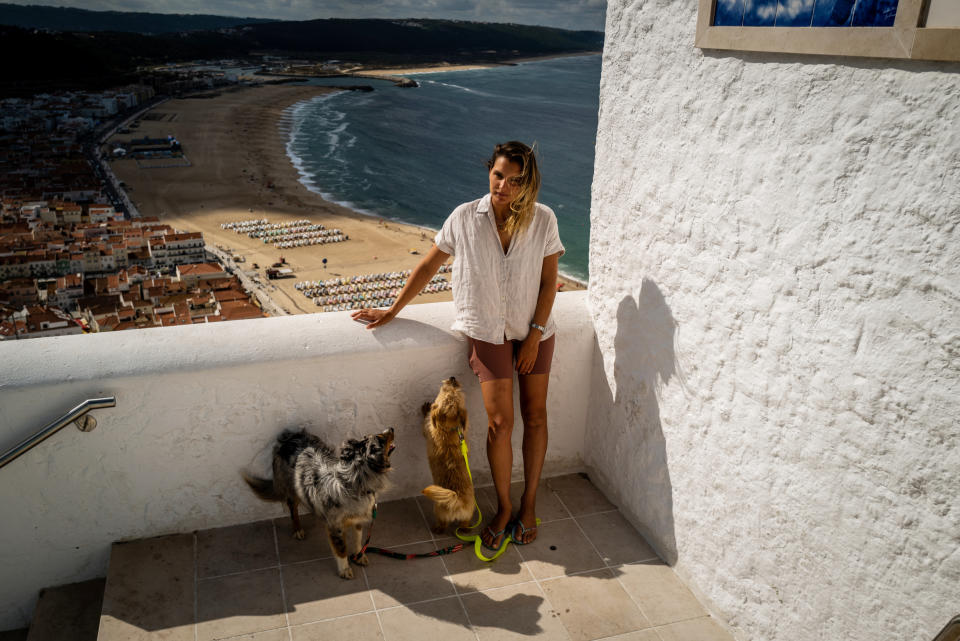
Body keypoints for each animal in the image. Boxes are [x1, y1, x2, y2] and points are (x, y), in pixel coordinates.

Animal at [248, 428, 398, 576]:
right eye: (381, 438)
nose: (391, 428)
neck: (353, 482)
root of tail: (289, 436)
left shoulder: (358, 518)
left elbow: (358, 539)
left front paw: (359, 556)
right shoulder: (335, 527)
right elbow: (341, 549)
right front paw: (345, 569)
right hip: (291, 489)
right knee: (293, 509)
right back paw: (298, 529)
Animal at [424, 378, 476, 532]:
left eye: (445, 390)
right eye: (450, 390)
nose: (452, 378)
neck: (449, 427)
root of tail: (456, 499)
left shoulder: (427, 428)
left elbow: (427, 418)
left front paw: (426, 408)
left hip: (438, 510)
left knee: (443, 524)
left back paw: (437, 529)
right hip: (468, 514)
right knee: (464, 523)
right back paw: (466, 528)